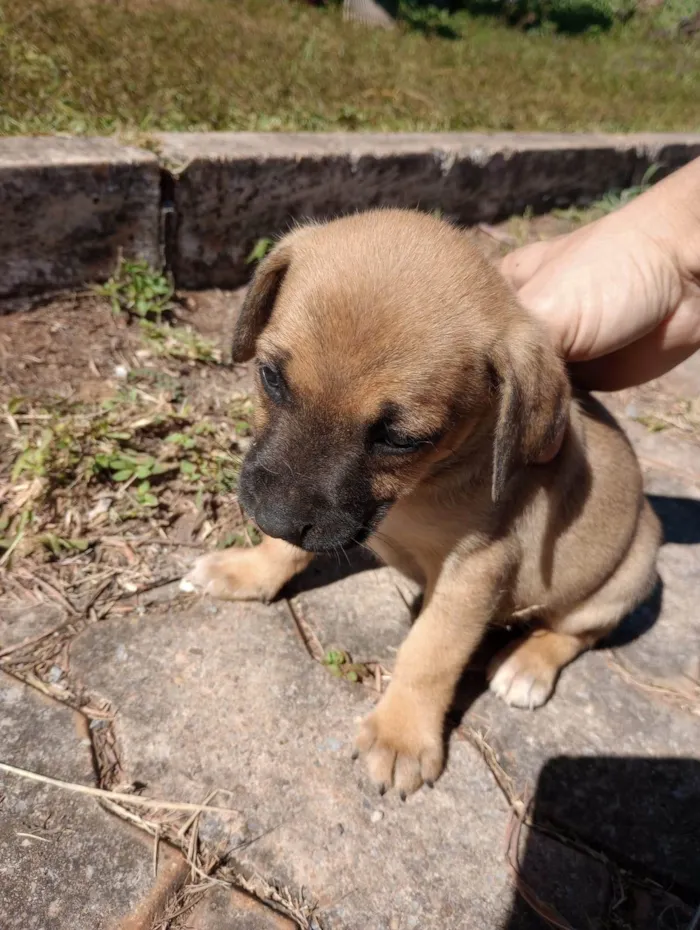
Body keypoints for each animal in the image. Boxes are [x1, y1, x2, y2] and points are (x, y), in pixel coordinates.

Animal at [183, 210, 660, 796]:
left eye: (401, 439)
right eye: (271, 378)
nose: (271, 518)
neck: (422, 488)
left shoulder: (477, 570)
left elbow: (430, 653)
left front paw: (402, 735)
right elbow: (291, 549)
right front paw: (250, 568)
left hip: (629, 575)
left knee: (577, 631)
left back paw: (528, 665)